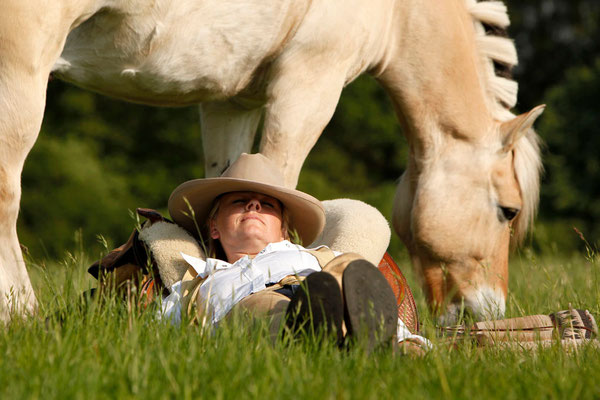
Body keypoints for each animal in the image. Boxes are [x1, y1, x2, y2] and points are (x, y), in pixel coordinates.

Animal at [0, 0, 544, 322]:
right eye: (508, 211)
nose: (489, 310)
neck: (399, 12)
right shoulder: (310, 82)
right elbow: (281, 181)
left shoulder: (229, 103)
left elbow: (219, 187)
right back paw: (21, 316)